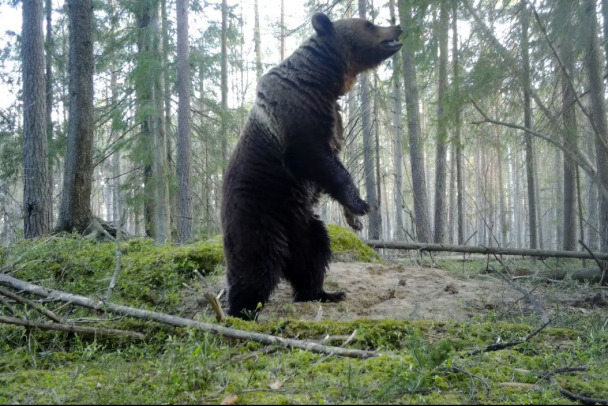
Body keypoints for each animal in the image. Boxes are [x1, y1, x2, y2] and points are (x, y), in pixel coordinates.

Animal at [221, 11, 402, 320]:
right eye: (369, 24)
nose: (398, 27)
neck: (321, 81)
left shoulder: (330, 116)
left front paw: (354, 217)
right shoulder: (297, 117)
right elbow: (318, 160)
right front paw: (362, 204)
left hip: (302, 222)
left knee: (312, 254)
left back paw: (322, 292)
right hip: (257, 212)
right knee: (256, 263)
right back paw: (242, 311)